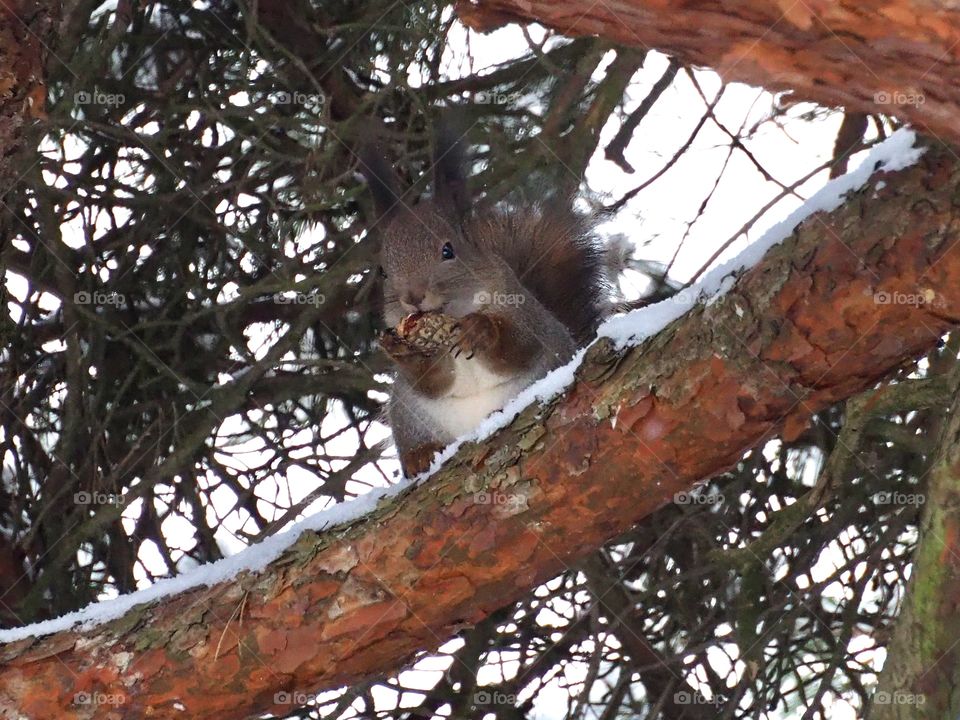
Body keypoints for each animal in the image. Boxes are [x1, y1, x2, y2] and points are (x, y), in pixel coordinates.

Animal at [360, 123, 608, 477]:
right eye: (382, 270)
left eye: (448, 250)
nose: (413, 297)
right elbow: (432, 381)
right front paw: (402, 352)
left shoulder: (526, 316)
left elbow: (518, 349)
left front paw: (481, 330)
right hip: (407, 414)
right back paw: (420, 455)